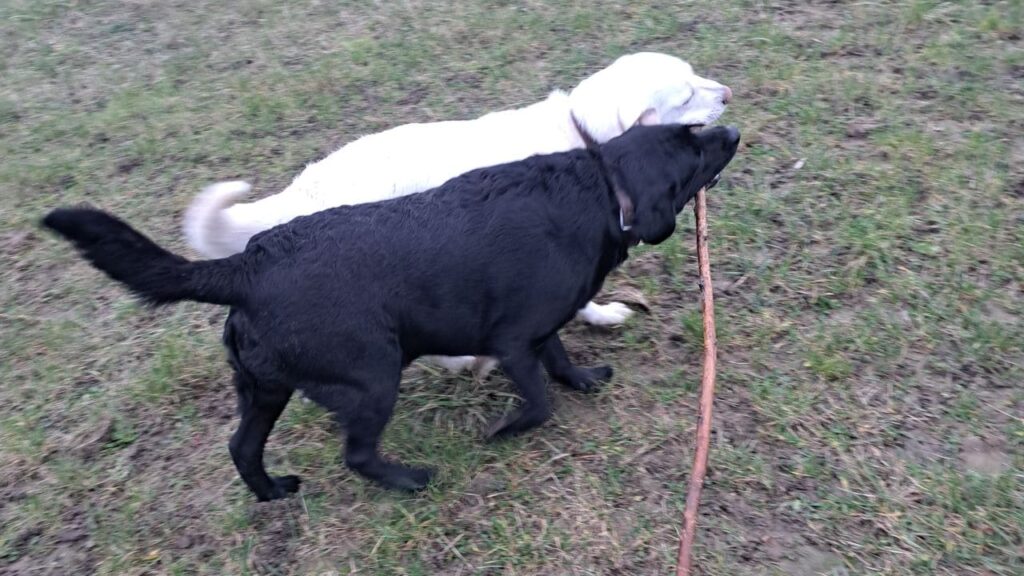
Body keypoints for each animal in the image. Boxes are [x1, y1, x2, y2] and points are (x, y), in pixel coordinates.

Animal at [41, 124, 737, 498]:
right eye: (692, 148)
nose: (731, 131)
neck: (599, 187)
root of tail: (247, 266)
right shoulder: (513, 340)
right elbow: (539, 401)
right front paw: (503, 430)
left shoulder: (538, 332)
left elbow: (562, 360)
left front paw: (586, 380)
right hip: (373, 375)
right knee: (357, 454)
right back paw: (409, 480)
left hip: (265, 388)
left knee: (241, 447)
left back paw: (272, 493)